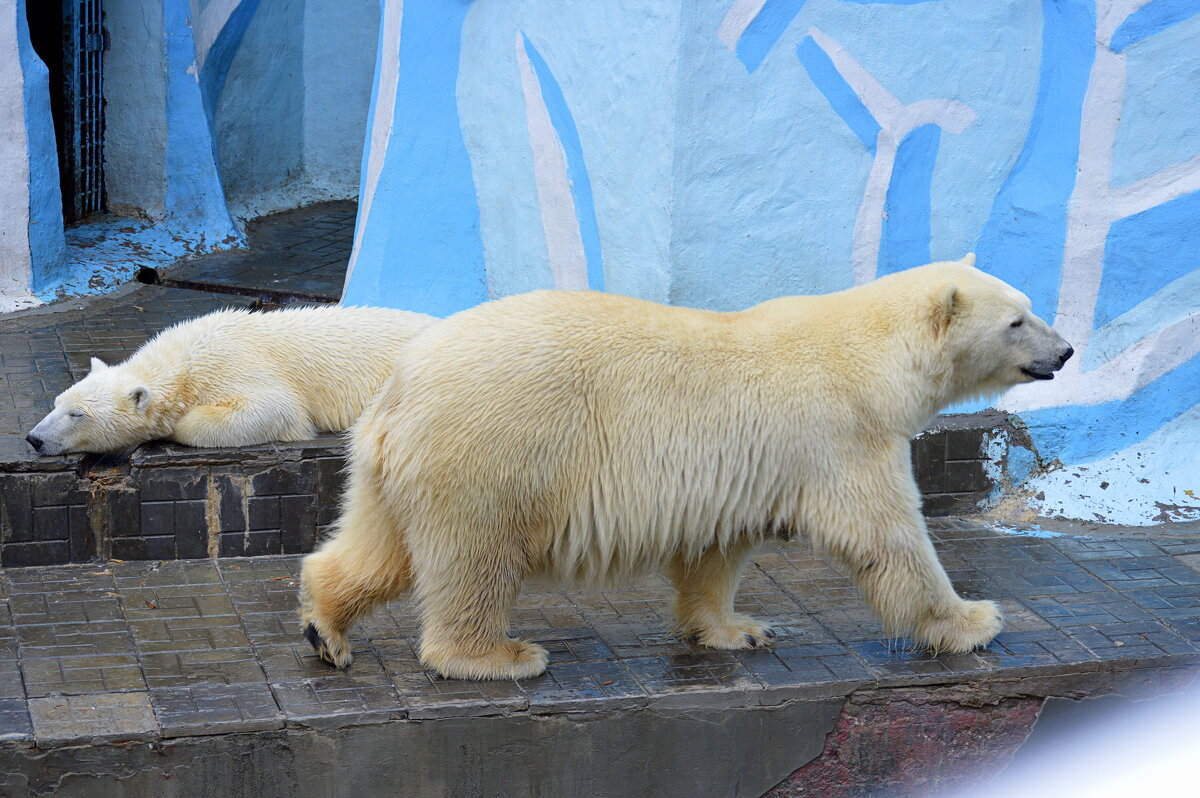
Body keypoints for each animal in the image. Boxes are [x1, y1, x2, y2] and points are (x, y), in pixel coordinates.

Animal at [27, 304, 436, 453]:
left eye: (78, 415)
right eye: (56, 404)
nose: (34, 439)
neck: (183, 358)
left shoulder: (233, 363)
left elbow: (279, 410)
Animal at [297, 255, 1070, 676]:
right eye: (1017, 320)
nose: (1064, 351)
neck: (874, 361)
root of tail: (402, 382)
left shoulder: (745, 467)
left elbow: (716, 552)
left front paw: (736, 629)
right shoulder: (841, 434)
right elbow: (888, 539)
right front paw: (974, 620)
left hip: (394, 462)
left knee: (378, 548)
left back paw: (325, 627)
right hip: (495, 448)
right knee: (475, 557)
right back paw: (497, 655)